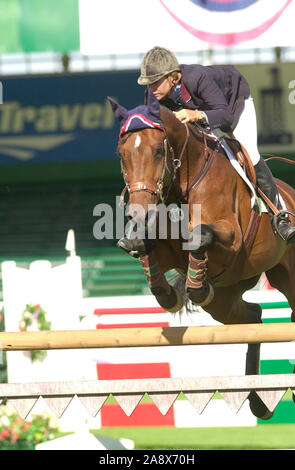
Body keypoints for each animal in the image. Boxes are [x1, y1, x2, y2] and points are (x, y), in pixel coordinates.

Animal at [108, 91, 295, 418]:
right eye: (122, 154)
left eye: (159, 150)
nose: (137, 213)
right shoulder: (169, 251)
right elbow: (146, 248)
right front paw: (172, 291)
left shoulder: (232, 241)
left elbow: (200, 236)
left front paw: (194, 286)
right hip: (225, 299)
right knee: (254, 318)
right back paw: (258, 400)